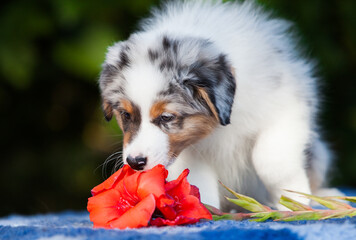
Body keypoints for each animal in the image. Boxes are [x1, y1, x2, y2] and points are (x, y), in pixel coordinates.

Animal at [99, 0, 334, 210]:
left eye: (166, 117)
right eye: (126, 115)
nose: (135, 162)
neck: (217, 129)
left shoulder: (287, 110)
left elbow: (269, 161)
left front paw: (294, 202)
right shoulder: (190, 150)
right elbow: (198, 183)